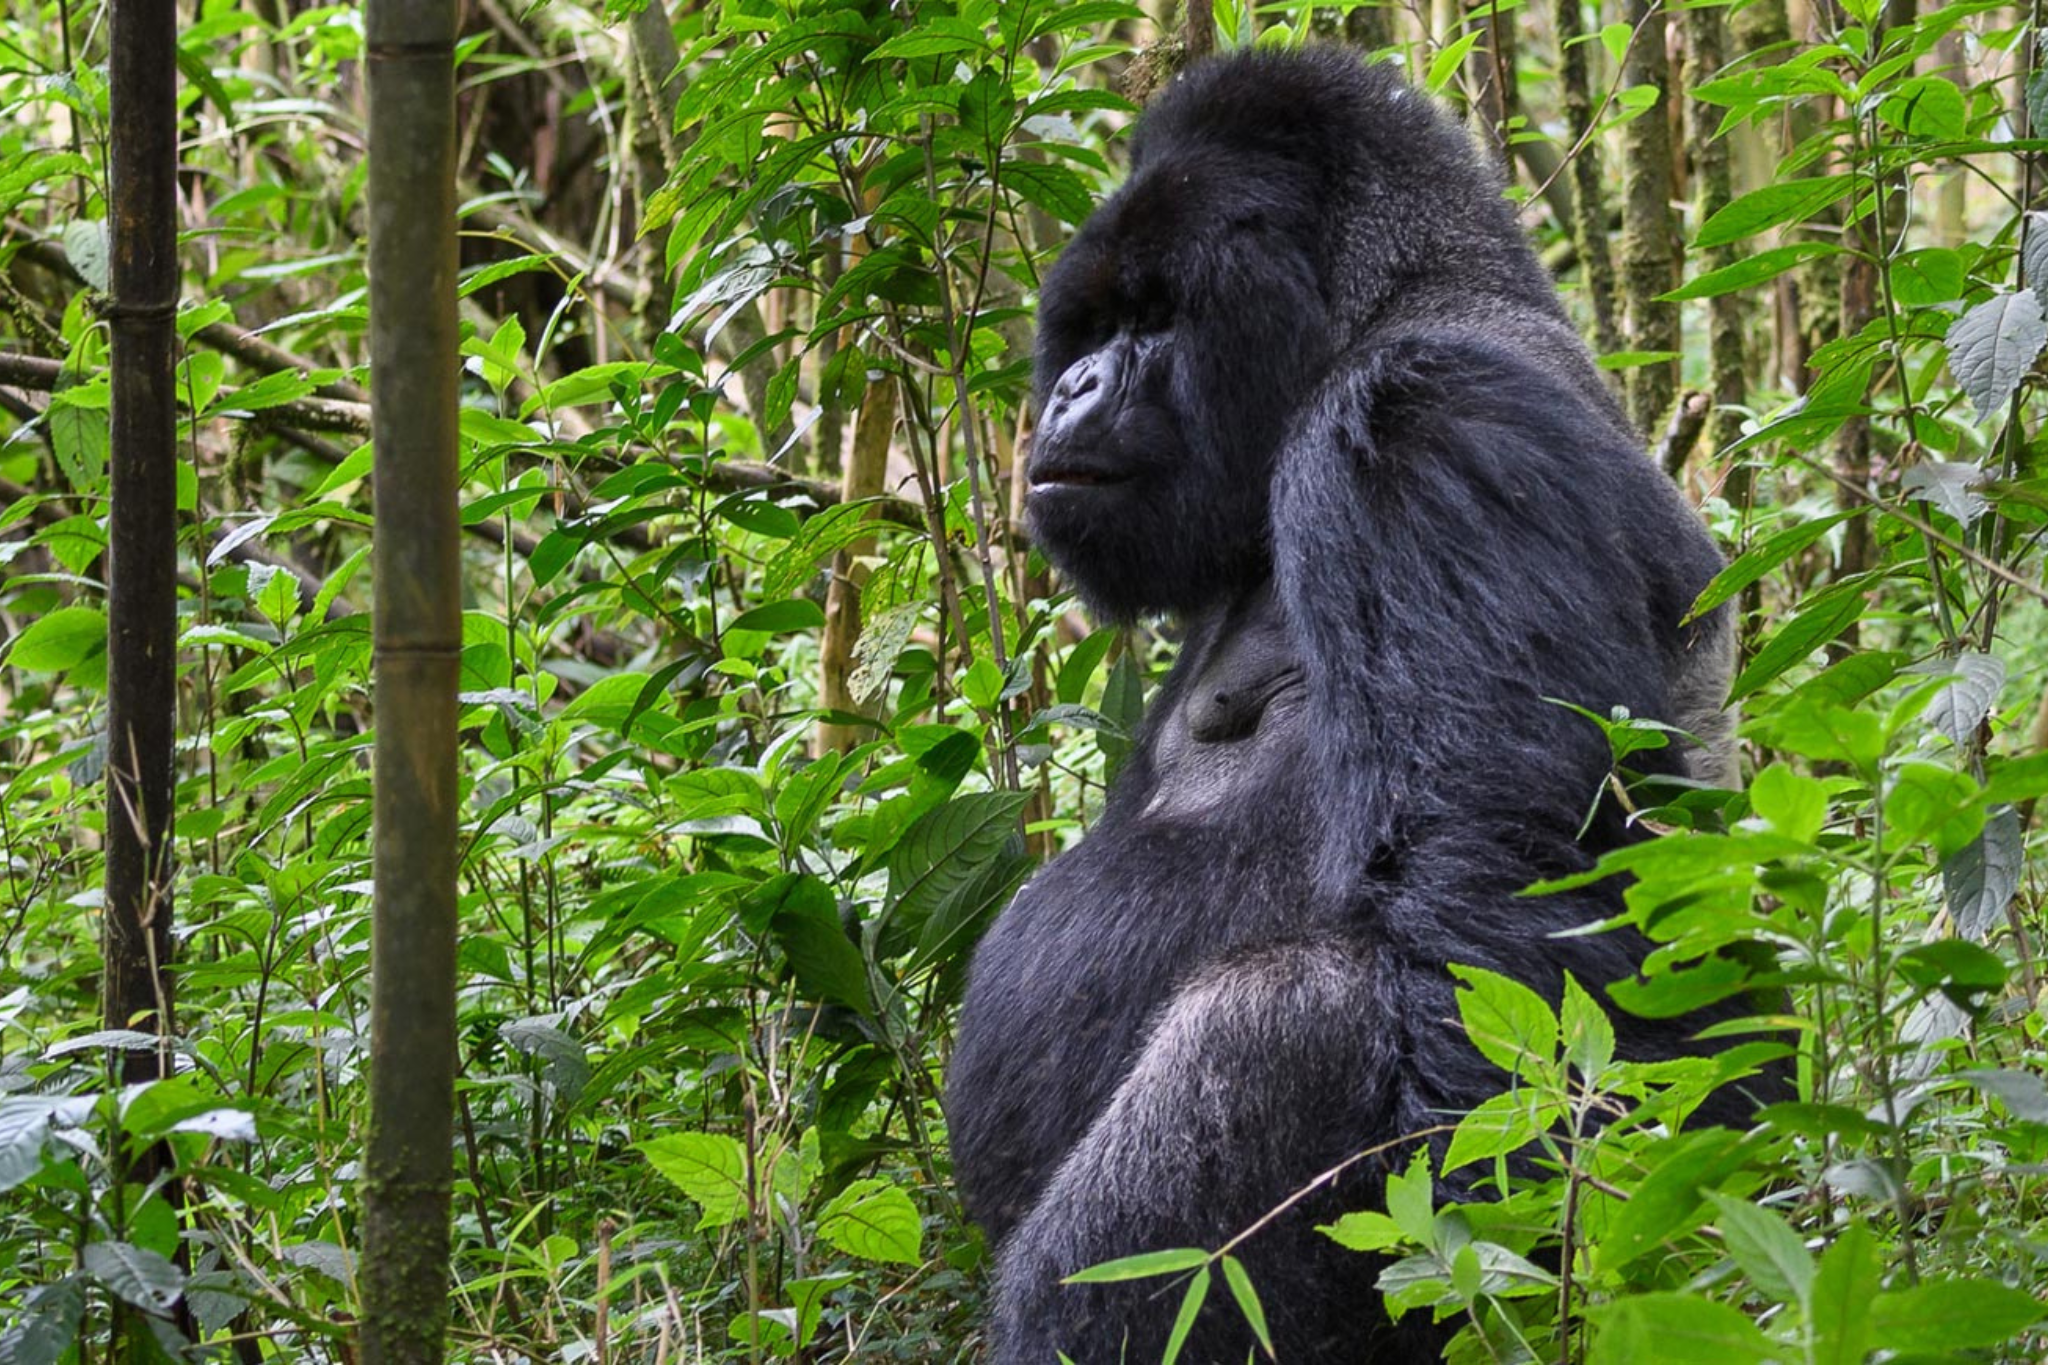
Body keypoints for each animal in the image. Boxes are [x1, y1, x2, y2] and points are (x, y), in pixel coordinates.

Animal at [942, 45, 1761, 1365]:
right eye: (1093, 324)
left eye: (1153, 318)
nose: (1065, 390)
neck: (1388, 309)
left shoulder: (1418, 421)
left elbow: (1499, 919)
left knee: (1293, 1015)